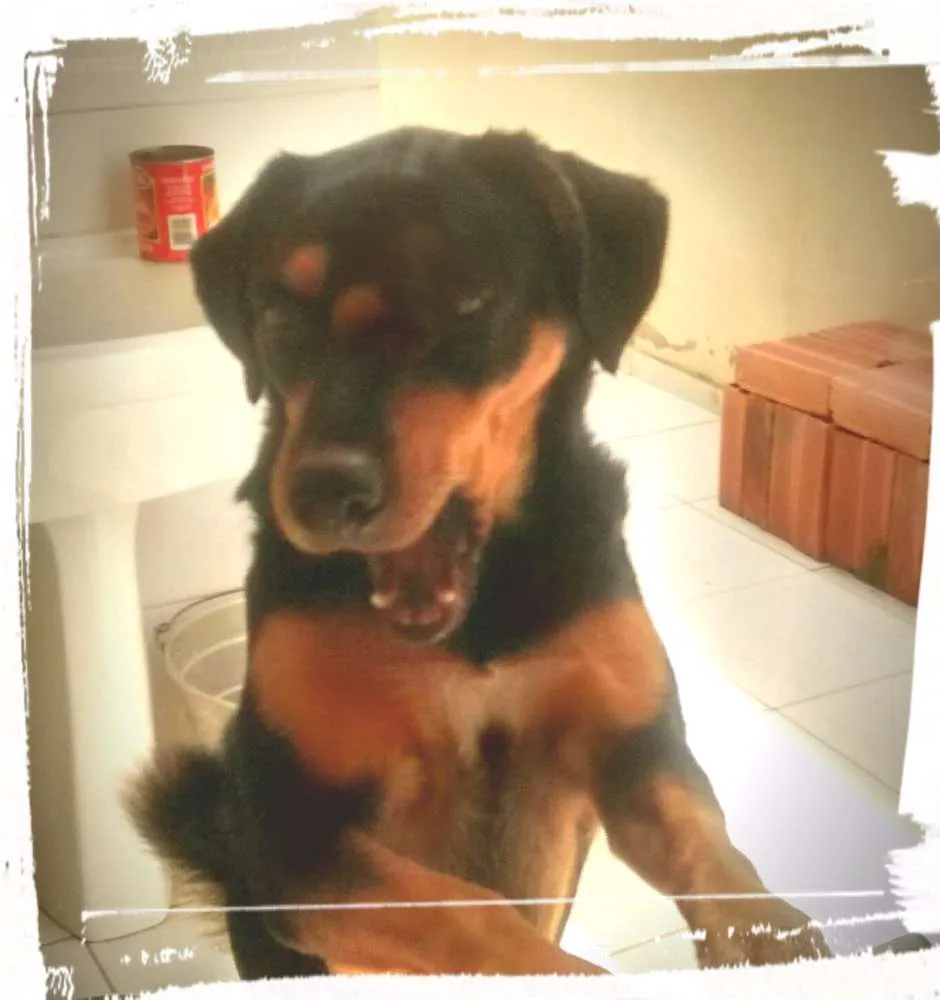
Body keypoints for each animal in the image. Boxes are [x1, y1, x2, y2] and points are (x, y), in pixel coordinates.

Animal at [126, 127, 831, 977]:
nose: (322, 490)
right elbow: (466, 914)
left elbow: (714, 850)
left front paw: (775, 933)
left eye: (467, 304)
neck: (472, 631)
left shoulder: (636, 748)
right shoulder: (293, 837)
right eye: (276, 312)